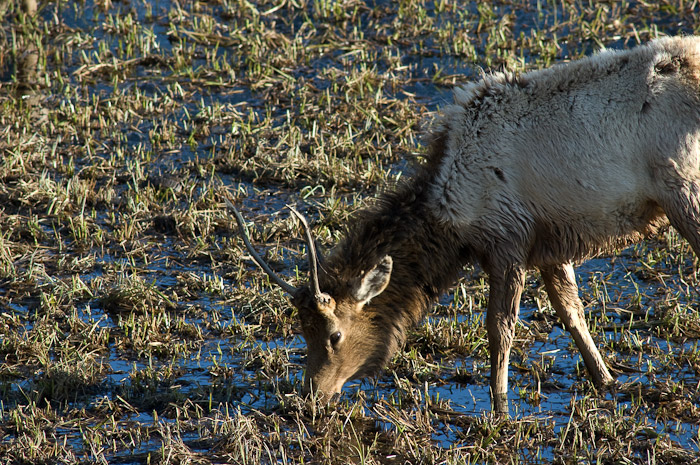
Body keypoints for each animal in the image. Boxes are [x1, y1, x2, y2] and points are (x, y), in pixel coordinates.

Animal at [232, 37, 700, 414]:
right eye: (302, 331)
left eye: (334, 335)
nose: (310, 397)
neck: (452, 218)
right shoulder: (550, 240)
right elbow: (572, 312)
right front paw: (605, 378)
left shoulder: (508, 237)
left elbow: (501, 328)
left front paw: (499, 402)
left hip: (682, 189)